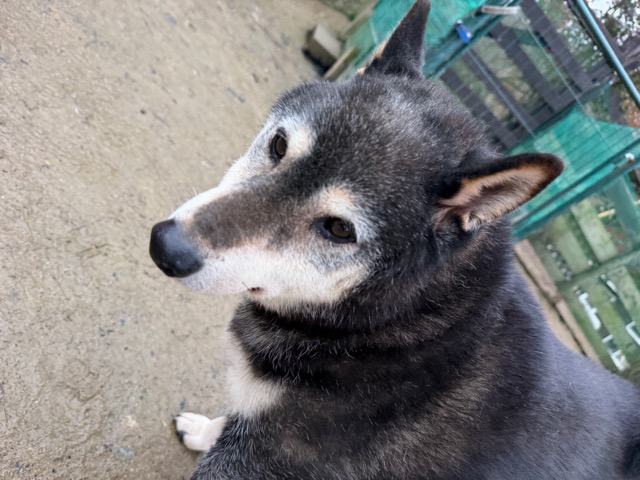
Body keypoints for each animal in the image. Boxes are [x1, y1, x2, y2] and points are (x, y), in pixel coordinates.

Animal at [149, 1, 640, 478]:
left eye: (339, 229)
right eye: (279, 145)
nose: (165, 247)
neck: (388, 324)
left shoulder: (273, 452)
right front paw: (203, 429)